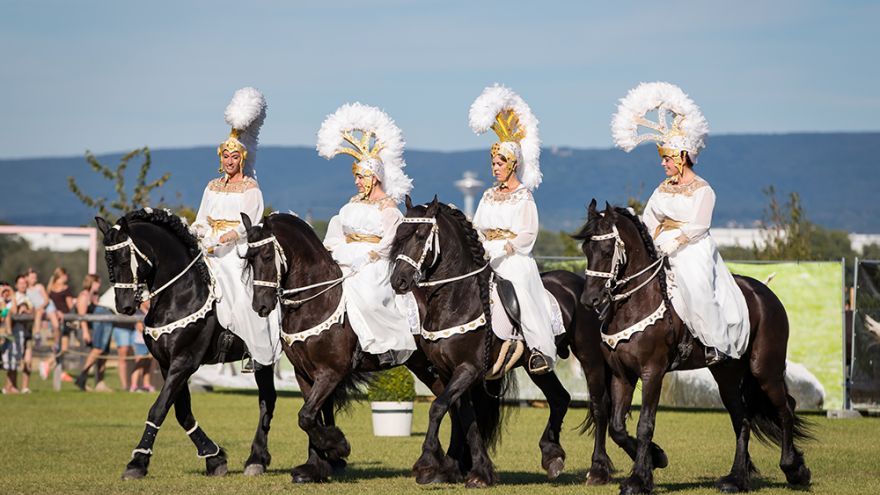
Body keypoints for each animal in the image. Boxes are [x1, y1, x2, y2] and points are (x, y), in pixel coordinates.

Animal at [96, 209, 276, 480]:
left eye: (127, 258)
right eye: (108, 260)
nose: (124, 306)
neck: (181, 293)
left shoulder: (184, 361)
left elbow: (158, 409)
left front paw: (137, 463)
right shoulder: (167, 363)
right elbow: (182, 412)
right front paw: (214, 457)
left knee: (268, 400)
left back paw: (257, 459)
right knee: (268, 399)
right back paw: (259, 458)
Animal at [239, 212, 474, 484]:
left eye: (267, 256)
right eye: (249, 259)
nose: (260, 306)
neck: (317, 301)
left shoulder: (331, 372)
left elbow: (306, 417)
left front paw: (338, 447)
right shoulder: (304, 374)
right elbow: (311, 417)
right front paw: (314, 466)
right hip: (425, 367)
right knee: (451, 405)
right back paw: (449, 465)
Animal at [388, 196, 624, 486]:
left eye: (421, 235)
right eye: (399, 236)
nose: (398, 281)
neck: (458, 299)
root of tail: (584, 286)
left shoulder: (468, 369)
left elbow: (438, 407)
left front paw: (427, 464)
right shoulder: (449, 372)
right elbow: (465, 417)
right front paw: (479, 471)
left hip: (590, 358)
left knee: (599, 406)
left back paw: (598, 469)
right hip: (537, 364)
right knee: (560, 398)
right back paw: (552, 455)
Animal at [572, 202, 812, 495]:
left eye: (607, 251)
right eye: (586, 249)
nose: (589, 299)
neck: (637, 301)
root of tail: (764, 293)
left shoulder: (652, 372)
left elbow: (644, 425)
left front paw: (638, 479)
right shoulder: (622, 374)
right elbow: (617, 427)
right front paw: (655, 459)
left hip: (764, 369)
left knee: (785, 409)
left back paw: (794, 469)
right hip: (727, 376)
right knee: (742, 419)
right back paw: (736, 478)